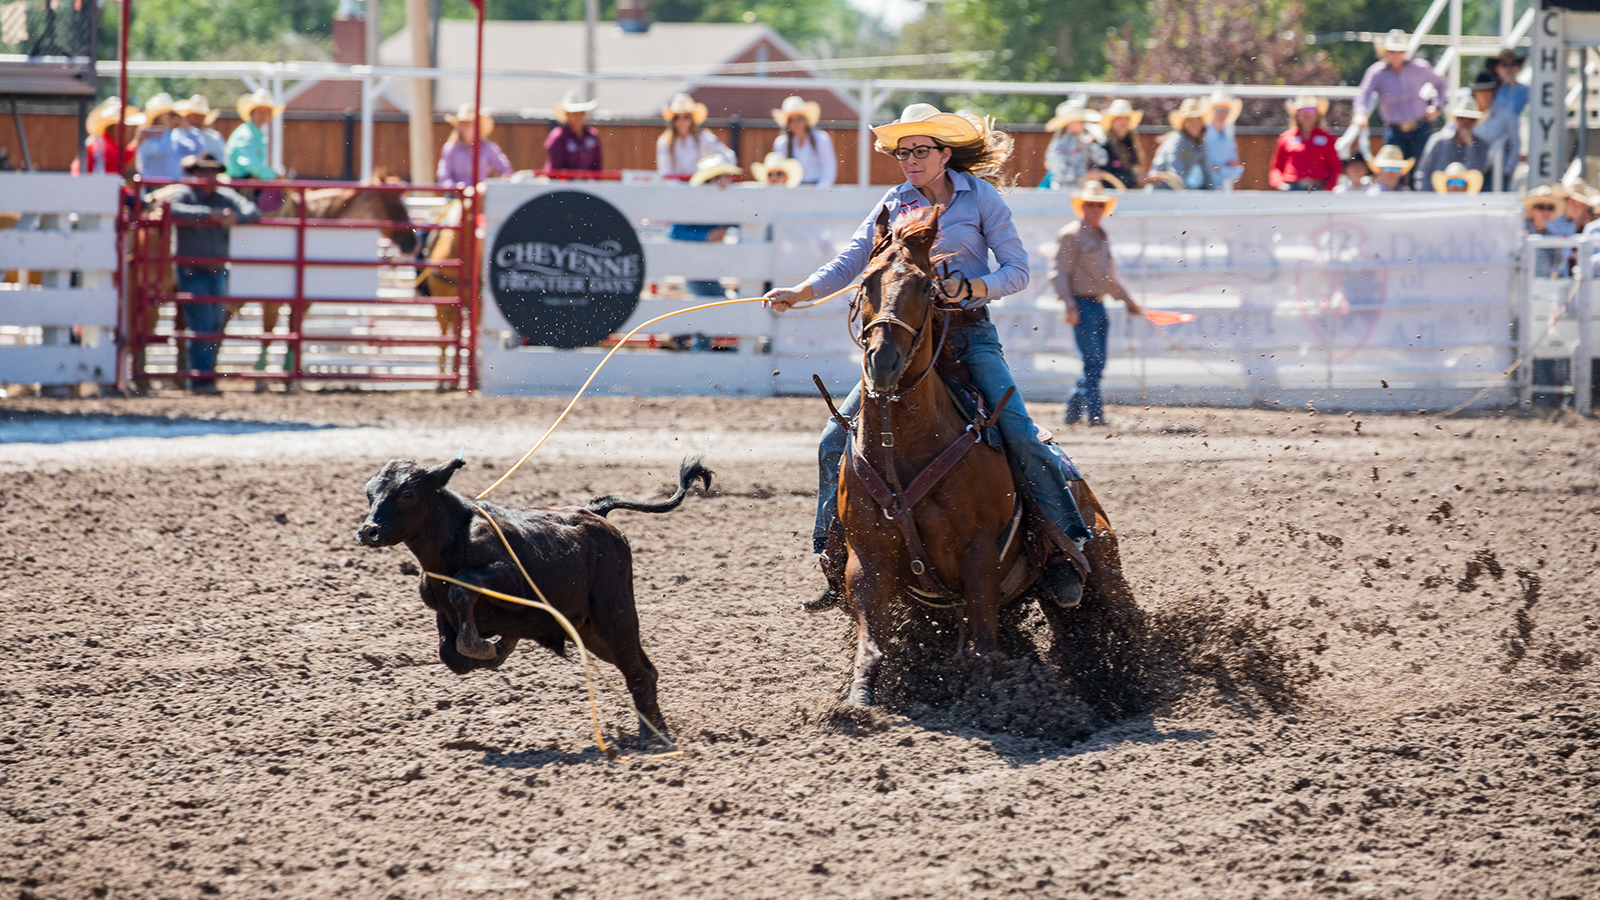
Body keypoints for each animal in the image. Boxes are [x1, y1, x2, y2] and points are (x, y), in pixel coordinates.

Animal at [832, 204, 1132, 707]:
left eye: (924, 285)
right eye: (867, 280)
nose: (883, 361)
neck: (903, 448)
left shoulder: (979, 555)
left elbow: (985, 648)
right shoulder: (868, 559)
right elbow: (872, 641)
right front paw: (857, 703)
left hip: (1105, 564)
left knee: (1127, 625)